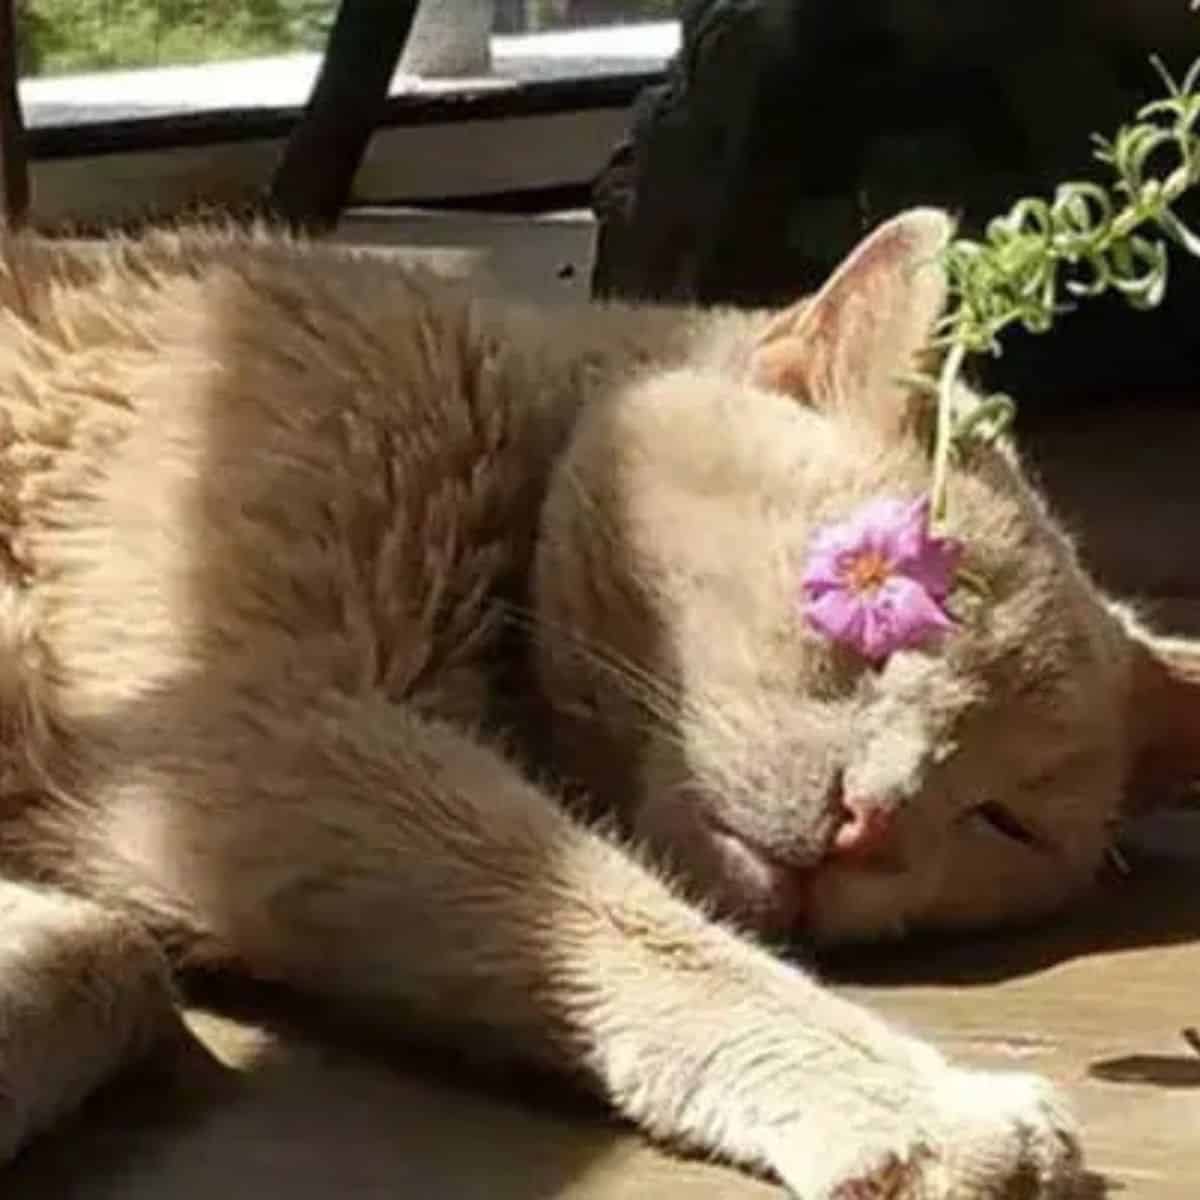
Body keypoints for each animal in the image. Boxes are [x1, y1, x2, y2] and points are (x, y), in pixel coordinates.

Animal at [0, 208, 1195, 1200]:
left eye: (1005, 820)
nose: (871, 820)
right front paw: (921, 1106)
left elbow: (107, 956)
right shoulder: (254, 735)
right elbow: (631, 927)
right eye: (864, 615)